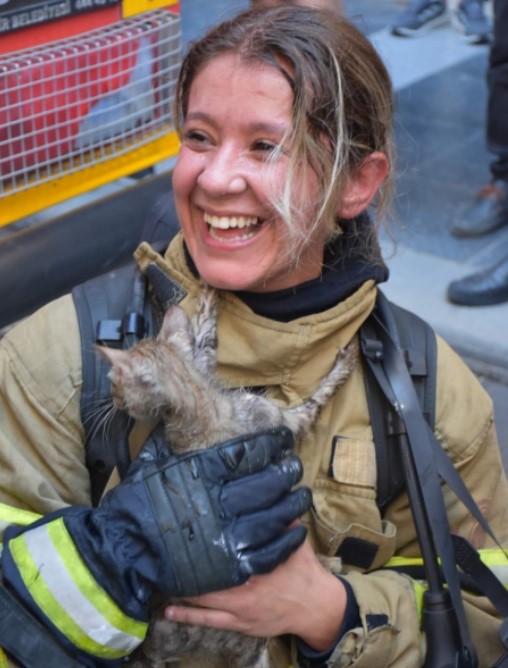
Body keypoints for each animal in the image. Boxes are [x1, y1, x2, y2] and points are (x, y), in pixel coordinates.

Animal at [97, 288, 356, 668]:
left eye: (116, 382)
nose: (112, 399)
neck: (199, 406)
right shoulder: (281, 420)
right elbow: (313, 402)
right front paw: (340, 370)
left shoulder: (202, 367)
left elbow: (205, 344)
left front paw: (207, 303)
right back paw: (331, 562)